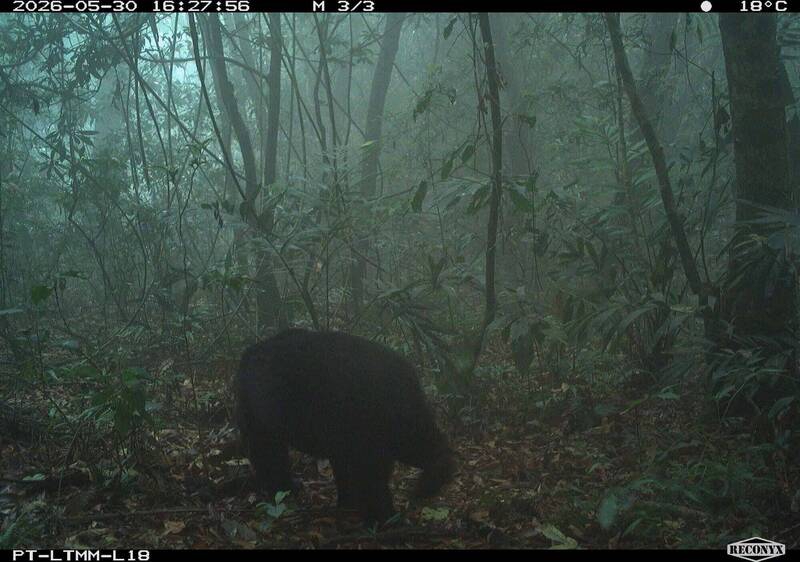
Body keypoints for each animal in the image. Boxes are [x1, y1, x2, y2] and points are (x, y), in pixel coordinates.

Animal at [234, 329, 455, 523]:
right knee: (268, 456)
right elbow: (371, 480)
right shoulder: (366, 446)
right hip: (261, 425)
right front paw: (384, 517)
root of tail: (249, 353)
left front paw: (351, 505)